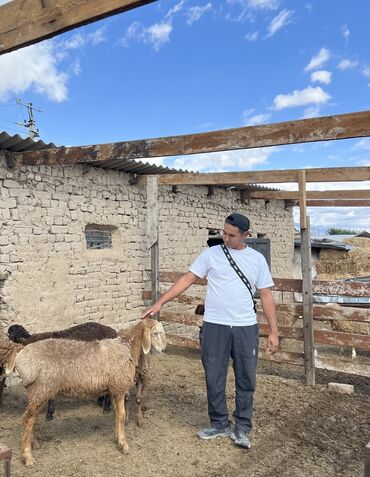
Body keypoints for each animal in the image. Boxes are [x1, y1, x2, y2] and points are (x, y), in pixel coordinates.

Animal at [0, 316, 165, 464]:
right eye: (156, 333)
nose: (163, 349)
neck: (128, 348)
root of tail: (21, 352)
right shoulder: (118, 388)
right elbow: (122, 415)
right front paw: (124, 445)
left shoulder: (113, 389)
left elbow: (117, 415)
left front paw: (116, 438)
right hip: (41, 389)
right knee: (27, 419)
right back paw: (28, 457)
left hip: (35, 391)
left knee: (30, 419)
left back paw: (34, 444)